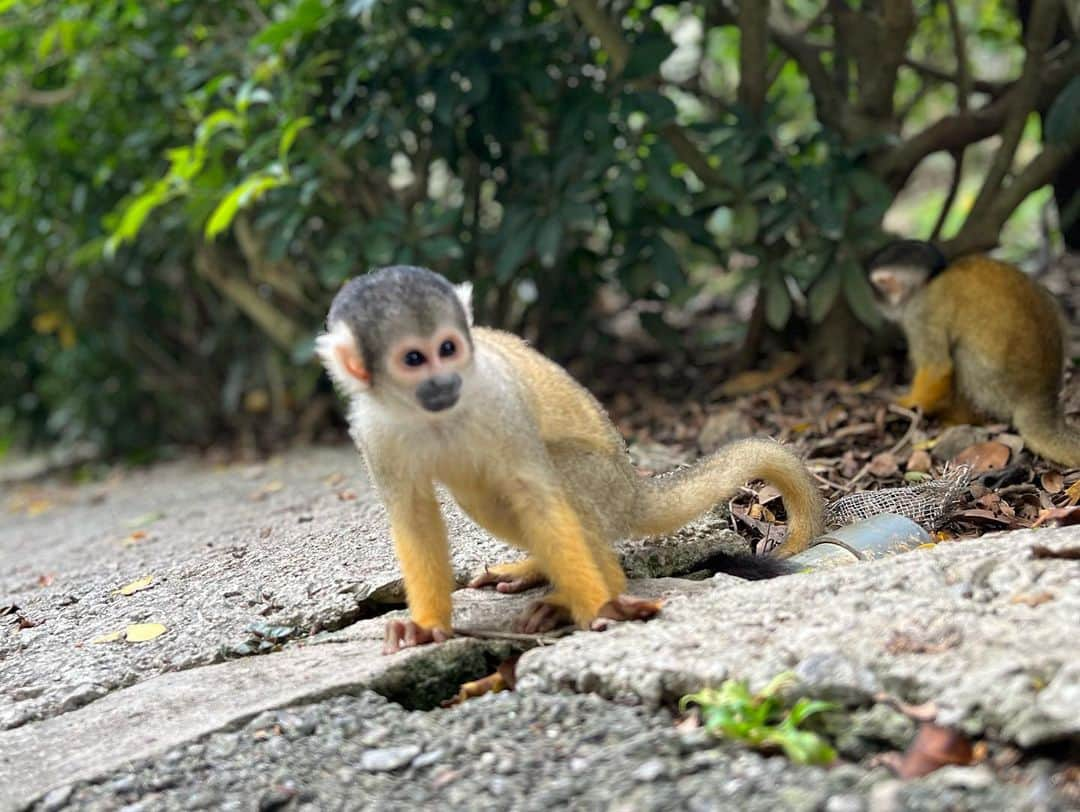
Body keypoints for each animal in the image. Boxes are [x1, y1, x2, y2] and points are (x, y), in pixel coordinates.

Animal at [315, 266, 820, 652]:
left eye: (448, 348)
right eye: (414, 358)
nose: (445, 382)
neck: (432, 415)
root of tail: (633, 486)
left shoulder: (500, 400)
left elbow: (537, 495)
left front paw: (600, 606)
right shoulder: (373, 428)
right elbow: (414, 514)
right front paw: (424, 625)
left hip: (604, 482)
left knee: (553, 481)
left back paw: (594, 593)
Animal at [868, 240, 1080, 466]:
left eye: (876, 289)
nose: (874, 303)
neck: (930, 280)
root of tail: (1040, 397)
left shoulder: (920, 314)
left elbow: (937, 368)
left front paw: (906, 403)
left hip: (997, 389)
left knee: (961, 355)